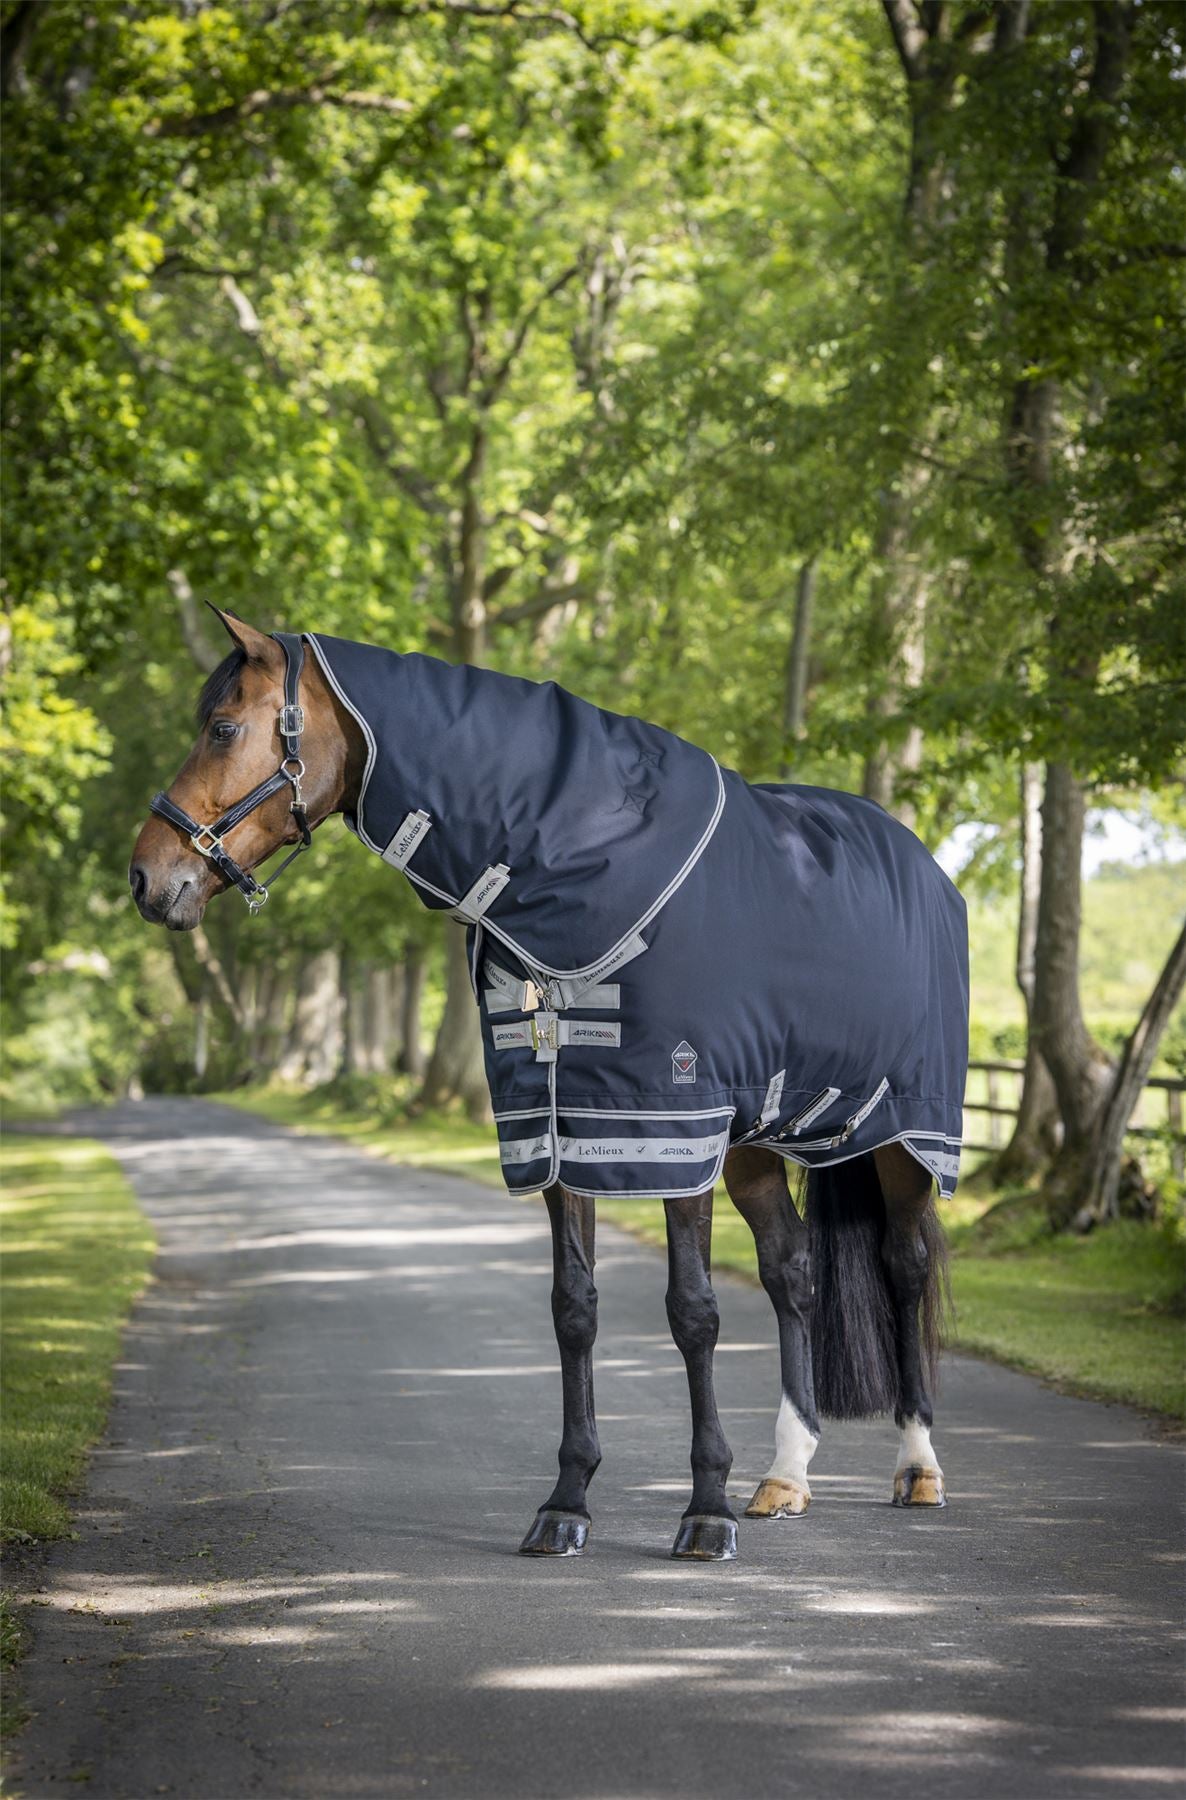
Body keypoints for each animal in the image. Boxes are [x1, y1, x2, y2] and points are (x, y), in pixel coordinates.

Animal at [130, 609, 966, 1561]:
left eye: (223, 727)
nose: (147, 878)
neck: (585, 861)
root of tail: (926, 867)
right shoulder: (565, 1126)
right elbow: (574, 1308)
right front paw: (567, 1503)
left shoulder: (670, 1124)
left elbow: (694, 1312)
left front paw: (703, 1511)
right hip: (756, 1140)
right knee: (793, 1272)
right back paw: (785, 1477)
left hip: (906, 1134)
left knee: (902, 1265)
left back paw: (916, 1466)